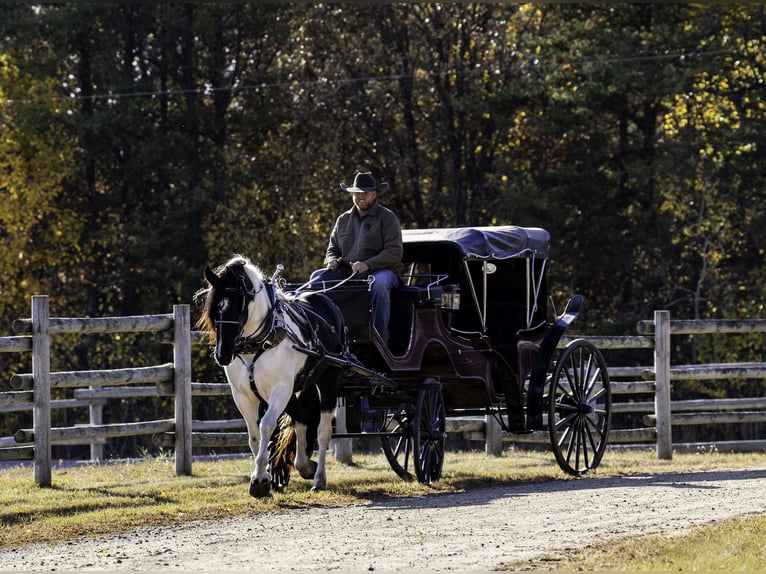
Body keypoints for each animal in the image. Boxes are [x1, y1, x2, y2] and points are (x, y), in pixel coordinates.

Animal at [196, 256, 346, 500]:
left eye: (238, 307)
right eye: (214, 309)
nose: (223, 354)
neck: (262, 340)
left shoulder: (280, 390)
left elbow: (267, 425)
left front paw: (258, 480)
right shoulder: (243, 396)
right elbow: (254, 436)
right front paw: (265, 478)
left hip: (329, 380)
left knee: (323, 431)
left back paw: (319, 478)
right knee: (302, 418)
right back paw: (305, 466)